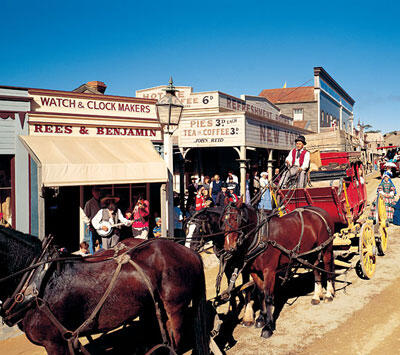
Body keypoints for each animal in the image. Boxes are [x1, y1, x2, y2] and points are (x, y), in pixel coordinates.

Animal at [222, 199, 334, 340]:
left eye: (236, 219)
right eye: (222, 222)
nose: (228, 248)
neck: (261, 236)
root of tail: (321, 211)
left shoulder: (269, 271)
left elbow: (268, 297)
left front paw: (268, 327)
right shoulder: (254, 272)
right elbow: (260, 293)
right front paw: (261, 318)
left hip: (326, 248)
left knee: (327, 266)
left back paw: (329, 294)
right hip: (312, 252)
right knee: (315, 269)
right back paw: (316, 296)